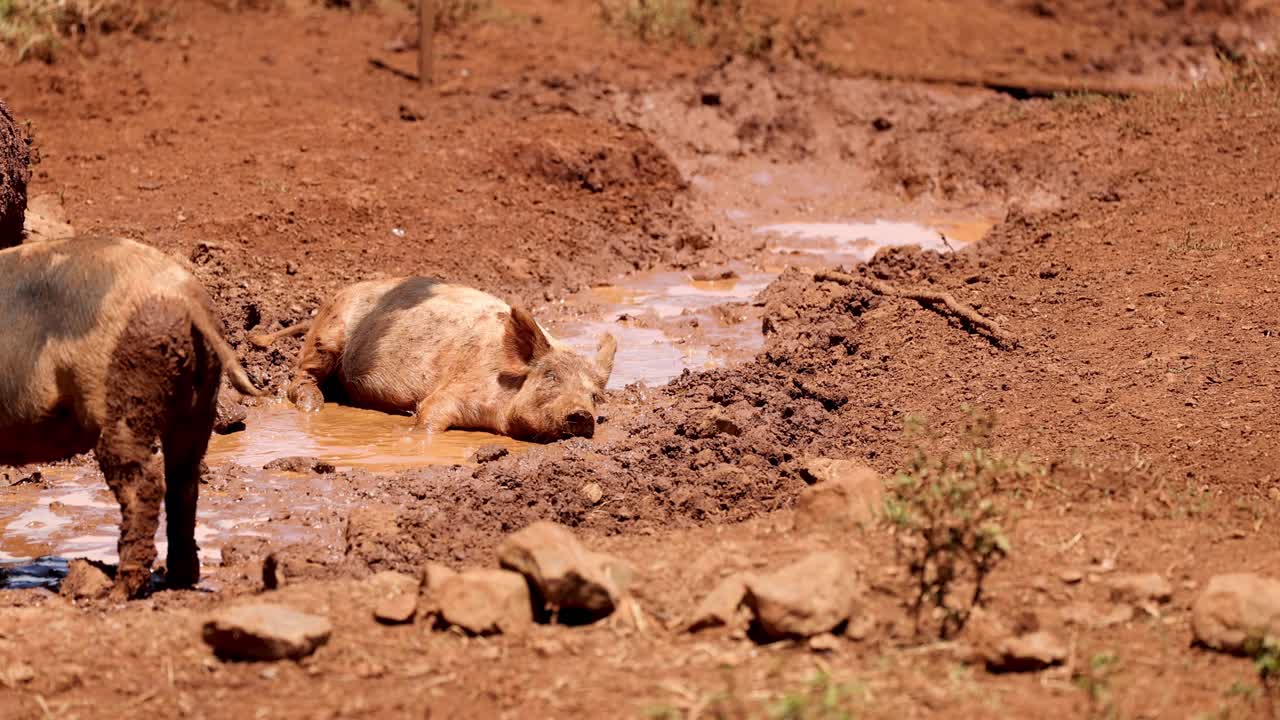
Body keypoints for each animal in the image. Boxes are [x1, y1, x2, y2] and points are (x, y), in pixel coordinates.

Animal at [0, 236, 261, 599]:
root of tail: (185, 295)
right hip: (200, 401)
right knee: (184, 480)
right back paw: (180, 579)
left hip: (121, 393)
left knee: (144, 481)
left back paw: (118, 590)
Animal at [249, 277, 615, 442]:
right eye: (551, 376)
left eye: (595, 395)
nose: (582, 414)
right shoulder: (453, 391)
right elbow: (428, 416)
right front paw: (412, 437)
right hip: (328, 335)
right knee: (300, 378)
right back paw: (313, 405)